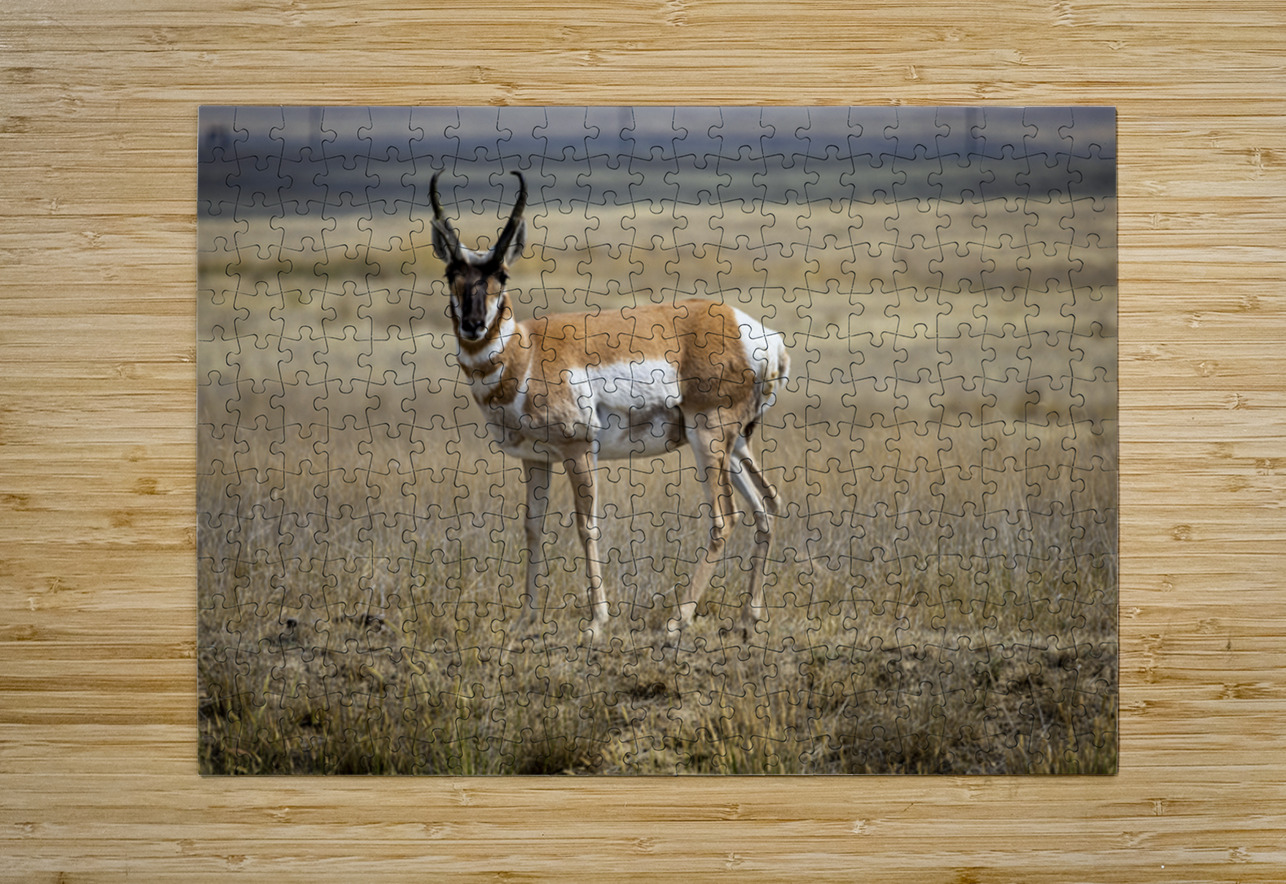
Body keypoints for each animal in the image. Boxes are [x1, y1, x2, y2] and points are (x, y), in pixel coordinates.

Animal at [429, 170, 789, 642]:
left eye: (502, 274)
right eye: (451, 272)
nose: (473, 325)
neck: (527, 353)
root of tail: (755, 332)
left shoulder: (580, 452)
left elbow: (587, 526)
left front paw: (597, 622)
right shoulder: (535, 460)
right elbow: (532, 528)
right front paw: (525, 620)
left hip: (708, 438)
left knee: (724, 519)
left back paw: (677, 620)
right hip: (734, 447)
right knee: (768, 506)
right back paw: (749, 617)